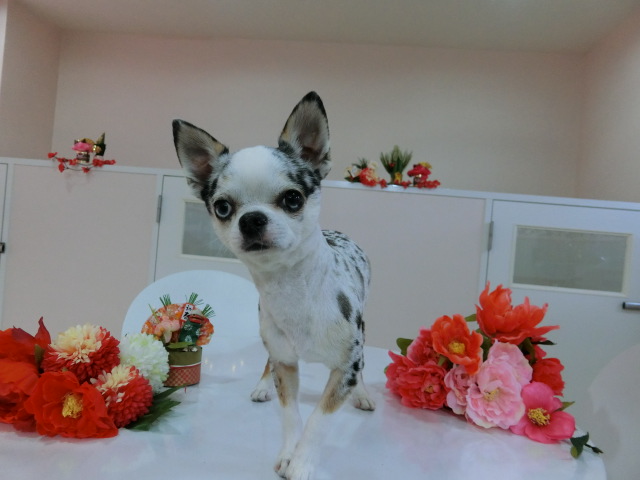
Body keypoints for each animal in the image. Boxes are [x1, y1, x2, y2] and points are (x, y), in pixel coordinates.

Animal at [172, 92, 375, 480]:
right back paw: (262, 385)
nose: (251, 219)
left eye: (293, 199)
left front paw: (303, 462)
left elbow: (319, 418)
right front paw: (288, 454)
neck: (292, 287)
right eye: (223, 207)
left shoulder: (346, 365)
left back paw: (363, 394)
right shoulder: (285, 361)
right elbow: (290, 413)